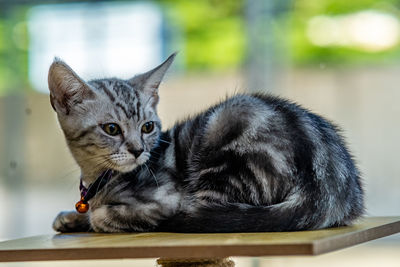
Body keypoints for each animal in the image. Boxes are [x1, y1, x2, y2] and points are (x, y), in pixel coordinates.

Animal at [49, 53, 362, 233]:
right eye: (111, 129)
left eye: (147, 127)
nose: (139, 150)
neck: (99, 180)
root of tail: (330, 189)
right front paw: (70, 217)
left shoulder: (166, 199)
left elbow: (102, 216)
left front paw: (90, 217)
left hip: (225, 138)